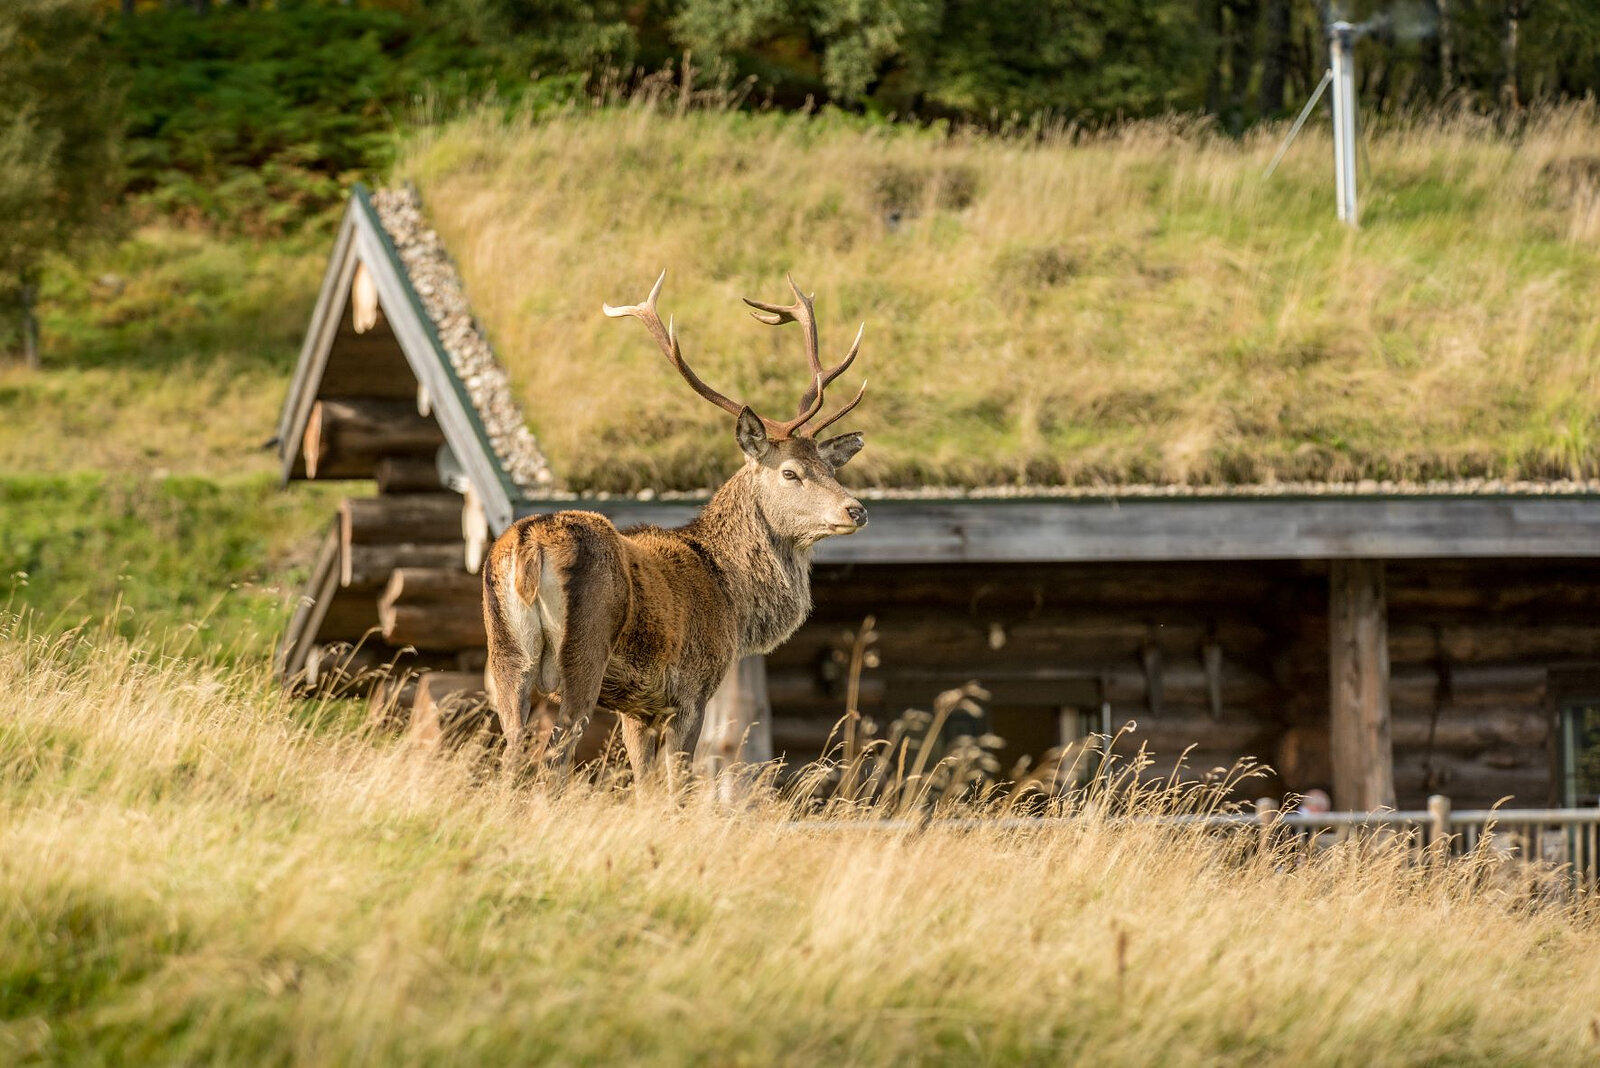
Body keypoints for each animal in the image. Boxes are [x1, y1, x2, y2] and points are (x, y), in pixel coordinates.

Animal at [481, 271, 869, 788]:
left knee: (510, 757)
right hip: (583, 652)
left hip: (505, 656)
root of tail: (530, 544)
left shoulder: (636, 709)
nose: (856, 510)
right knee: (554, 760)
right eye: (790, 472)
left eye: (829, 467)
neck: (731, 597)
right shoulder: (690, 691)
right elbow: (677, 784)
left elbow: (645, 787)